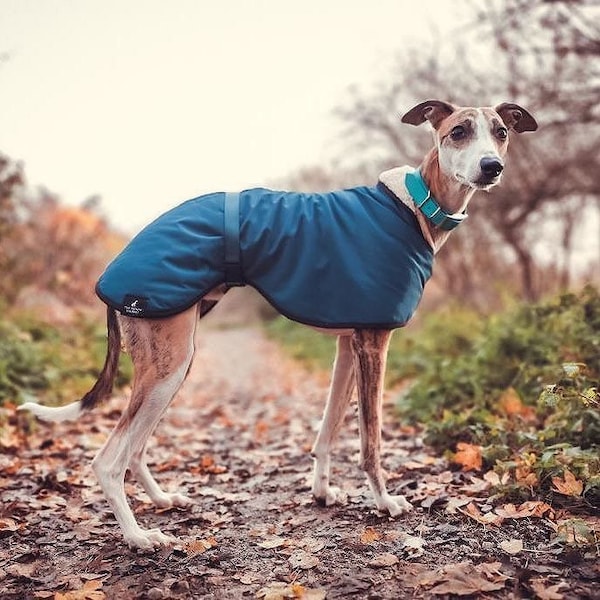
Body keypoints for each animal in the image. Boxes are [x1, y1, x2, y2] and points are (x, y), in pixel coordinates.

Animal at [21, 101, 540, 552]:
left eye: (501, 131)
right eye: (458, 131)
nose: (491, 167)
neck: (416, 204)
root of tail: (110, 272)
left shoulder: (349, 345)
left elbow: (329, 429)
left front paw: (323, 492)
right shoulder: (374, 343)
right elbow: (369, 439)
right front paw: (384, 501)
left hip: (174, 364)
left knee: (134, 448)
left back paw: (163, 500)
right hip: (167, 365)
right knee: (108, 460)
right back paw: (137, 537)